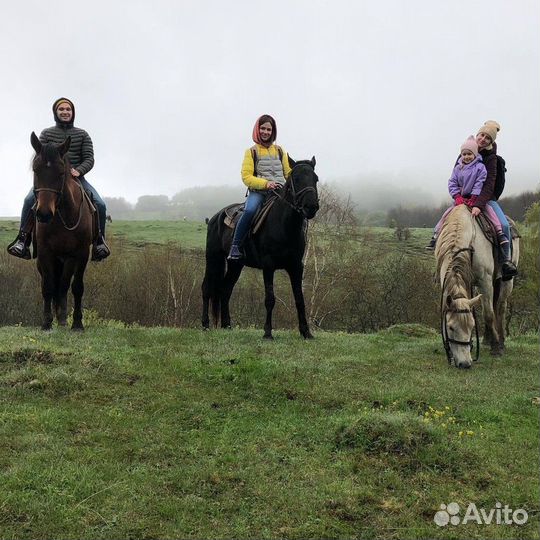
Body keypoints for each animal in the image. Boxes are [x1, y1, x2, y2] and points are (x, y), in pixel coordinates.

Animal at [30, 133, 94, 332]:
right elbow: (48, 287)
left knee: (64, 286)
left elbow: (75, 287)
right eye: (35, 170)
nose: (43, 214)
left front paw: (77, 324)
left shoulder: (79, 254)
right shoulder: (45, 253)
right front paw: (46, 323)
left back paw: (63, 318)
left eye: (60, 173)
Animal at [202, 158, 320, 340]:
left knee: (225, 289)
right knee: (207, 288)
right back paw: (205, 325)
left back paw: (227, 325)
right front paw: (267, 332)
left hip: (236, 265)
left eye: (315, 179)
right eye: (296, 178)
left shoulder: (296, 267)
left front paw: (306, 332)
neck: (284, 226)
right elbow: (270, 299)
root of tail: (215, 217)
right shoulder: (268, 266)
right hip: (213, 259)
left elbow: (300, 299)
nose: (311, 206)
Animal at [434, 205, 520, 370]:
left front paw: (496, 348)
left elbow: (488, 314)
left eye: (472, 326)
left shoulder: (485, 280)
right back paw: (487, 339)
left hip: (506, 280)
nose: (465, 363)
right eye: (450, 327)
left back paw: (500, 342)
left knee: (500, 307)